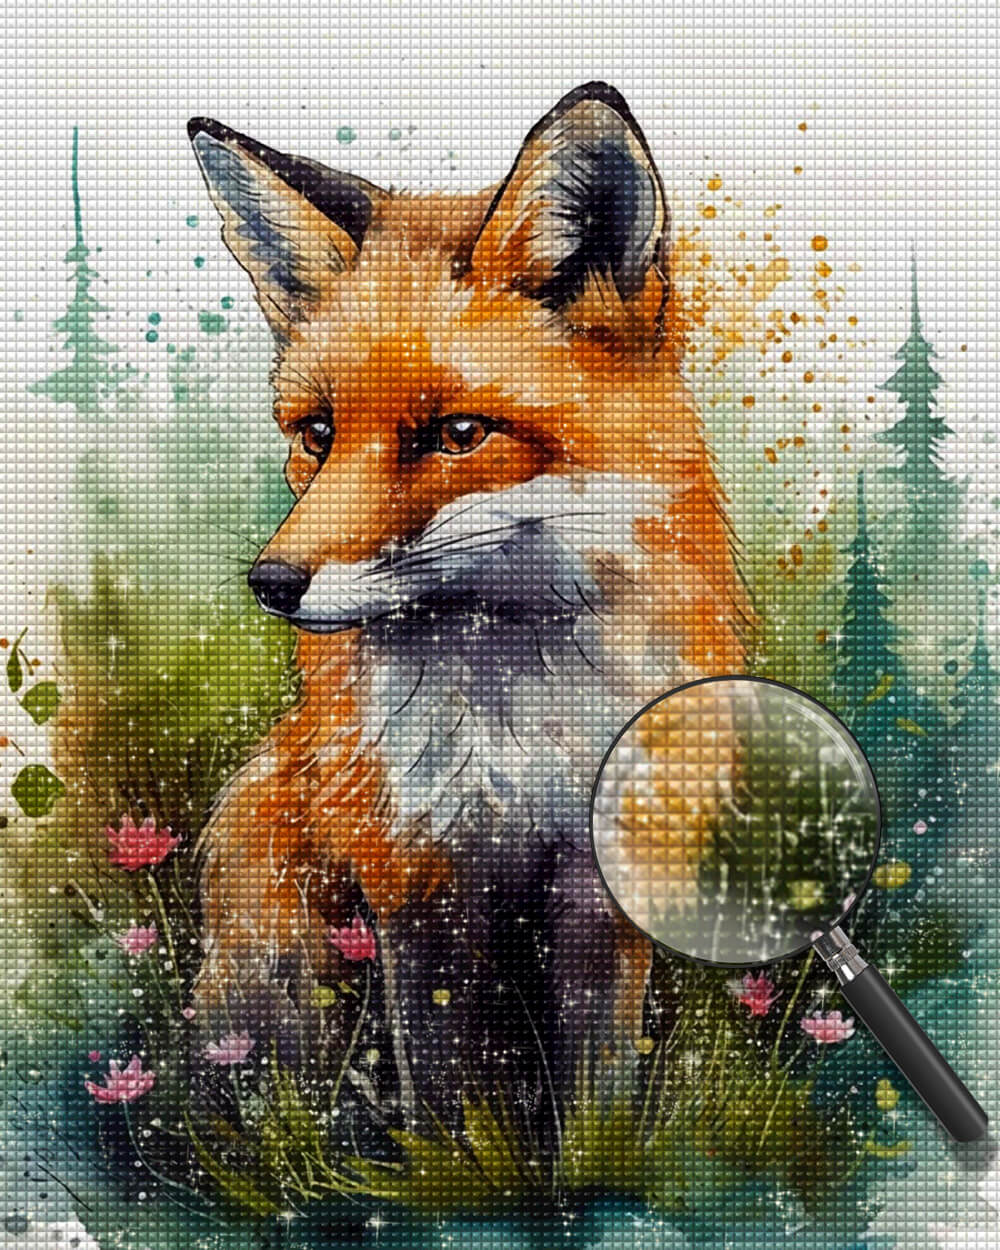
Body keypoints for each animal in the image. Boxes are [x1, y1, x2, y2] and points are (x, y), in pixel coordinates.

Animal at [187, 81, 747, 1141]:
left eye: (457, 433)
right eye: (317, 433)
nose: (272, 583)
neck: (517, 734)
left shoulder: (599, 881)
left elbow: (593, 1095)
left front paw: (589, 1168)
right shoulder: (417, 878)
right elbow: (453, 1099)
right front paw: (465, 1167)